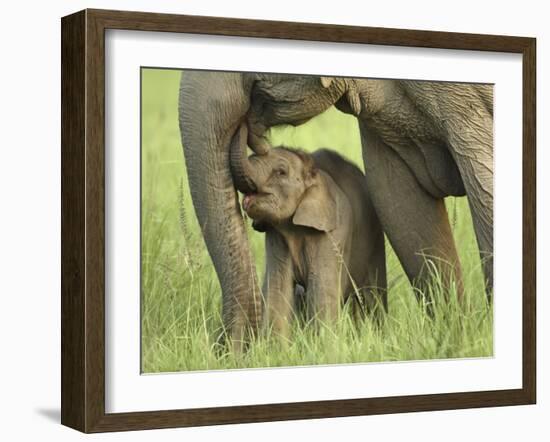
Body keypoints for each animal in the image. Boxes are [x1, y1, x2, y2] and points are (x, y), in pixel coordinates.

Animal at [231, 126, 386, 336]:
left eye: (281, 172)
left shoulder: (332, 232)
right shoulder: (277, 236)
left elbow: (321, 289)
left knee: (371, 294)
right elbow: (278, 288)